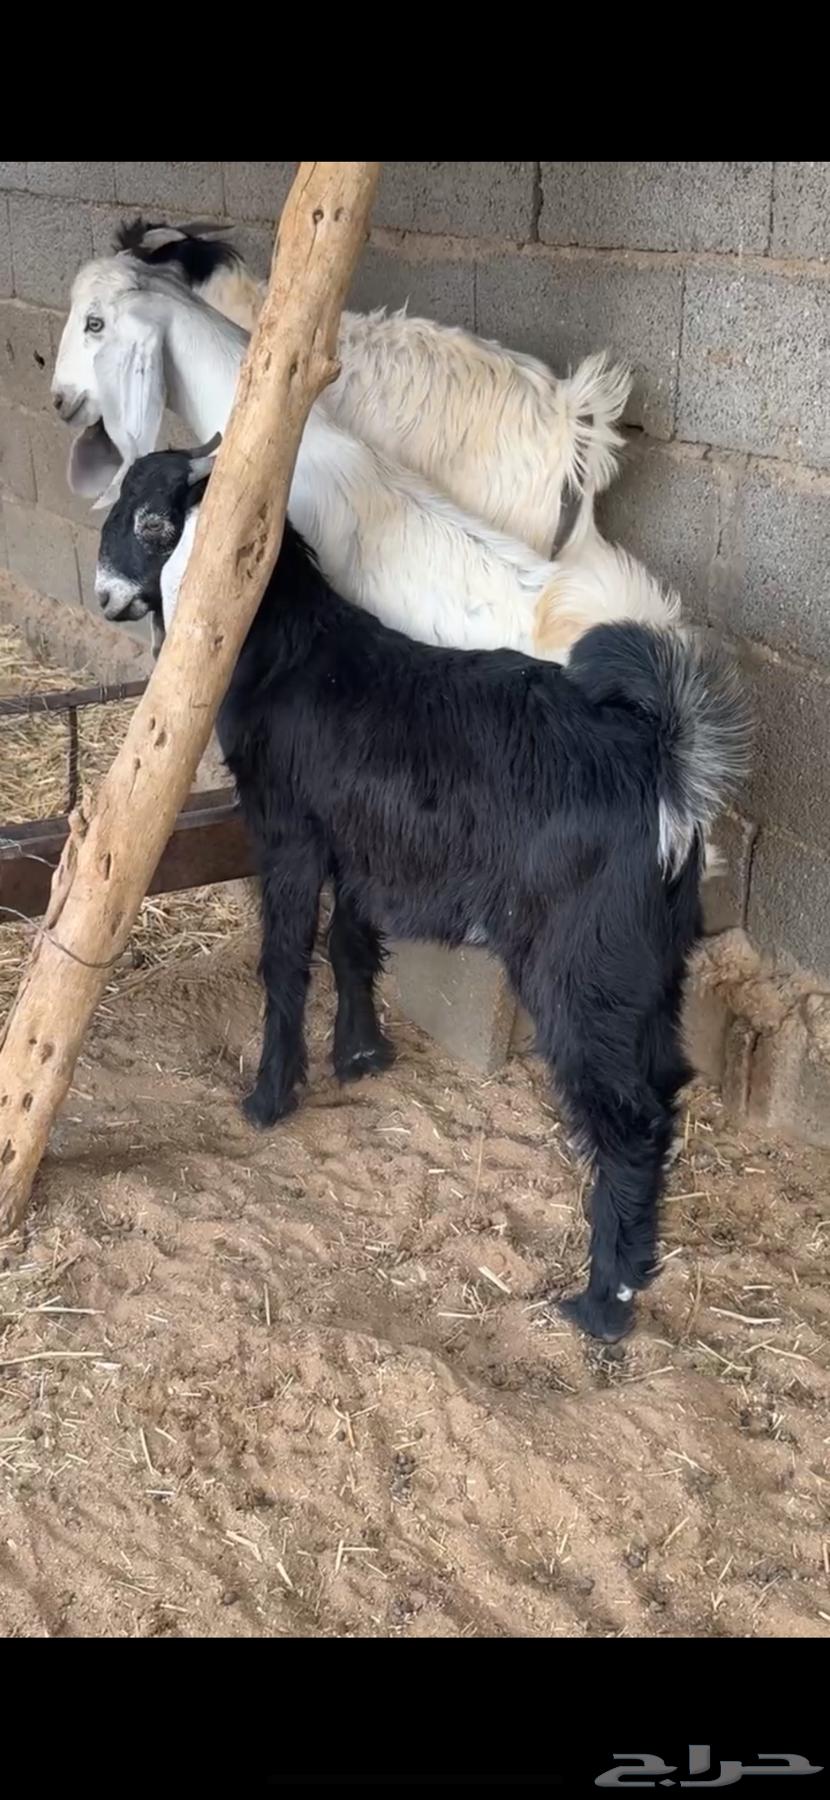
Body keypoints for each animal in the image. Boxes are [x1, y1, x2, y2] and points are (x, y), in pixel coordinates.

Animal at [95, 443, 751, 1345]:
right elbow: (352, 943)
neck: (293, 649)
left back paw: (602, 1303)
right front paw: (362, 1055)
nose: (103, 595)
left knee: (628, 1118)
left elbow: (285, 960)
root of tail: (664, 766)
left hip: (581, 963)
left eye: (153, 520)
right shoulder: (362, 845)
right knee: (663, 1084)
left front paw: (270, 1095)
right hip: (651, 962)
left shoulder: (289, 830)